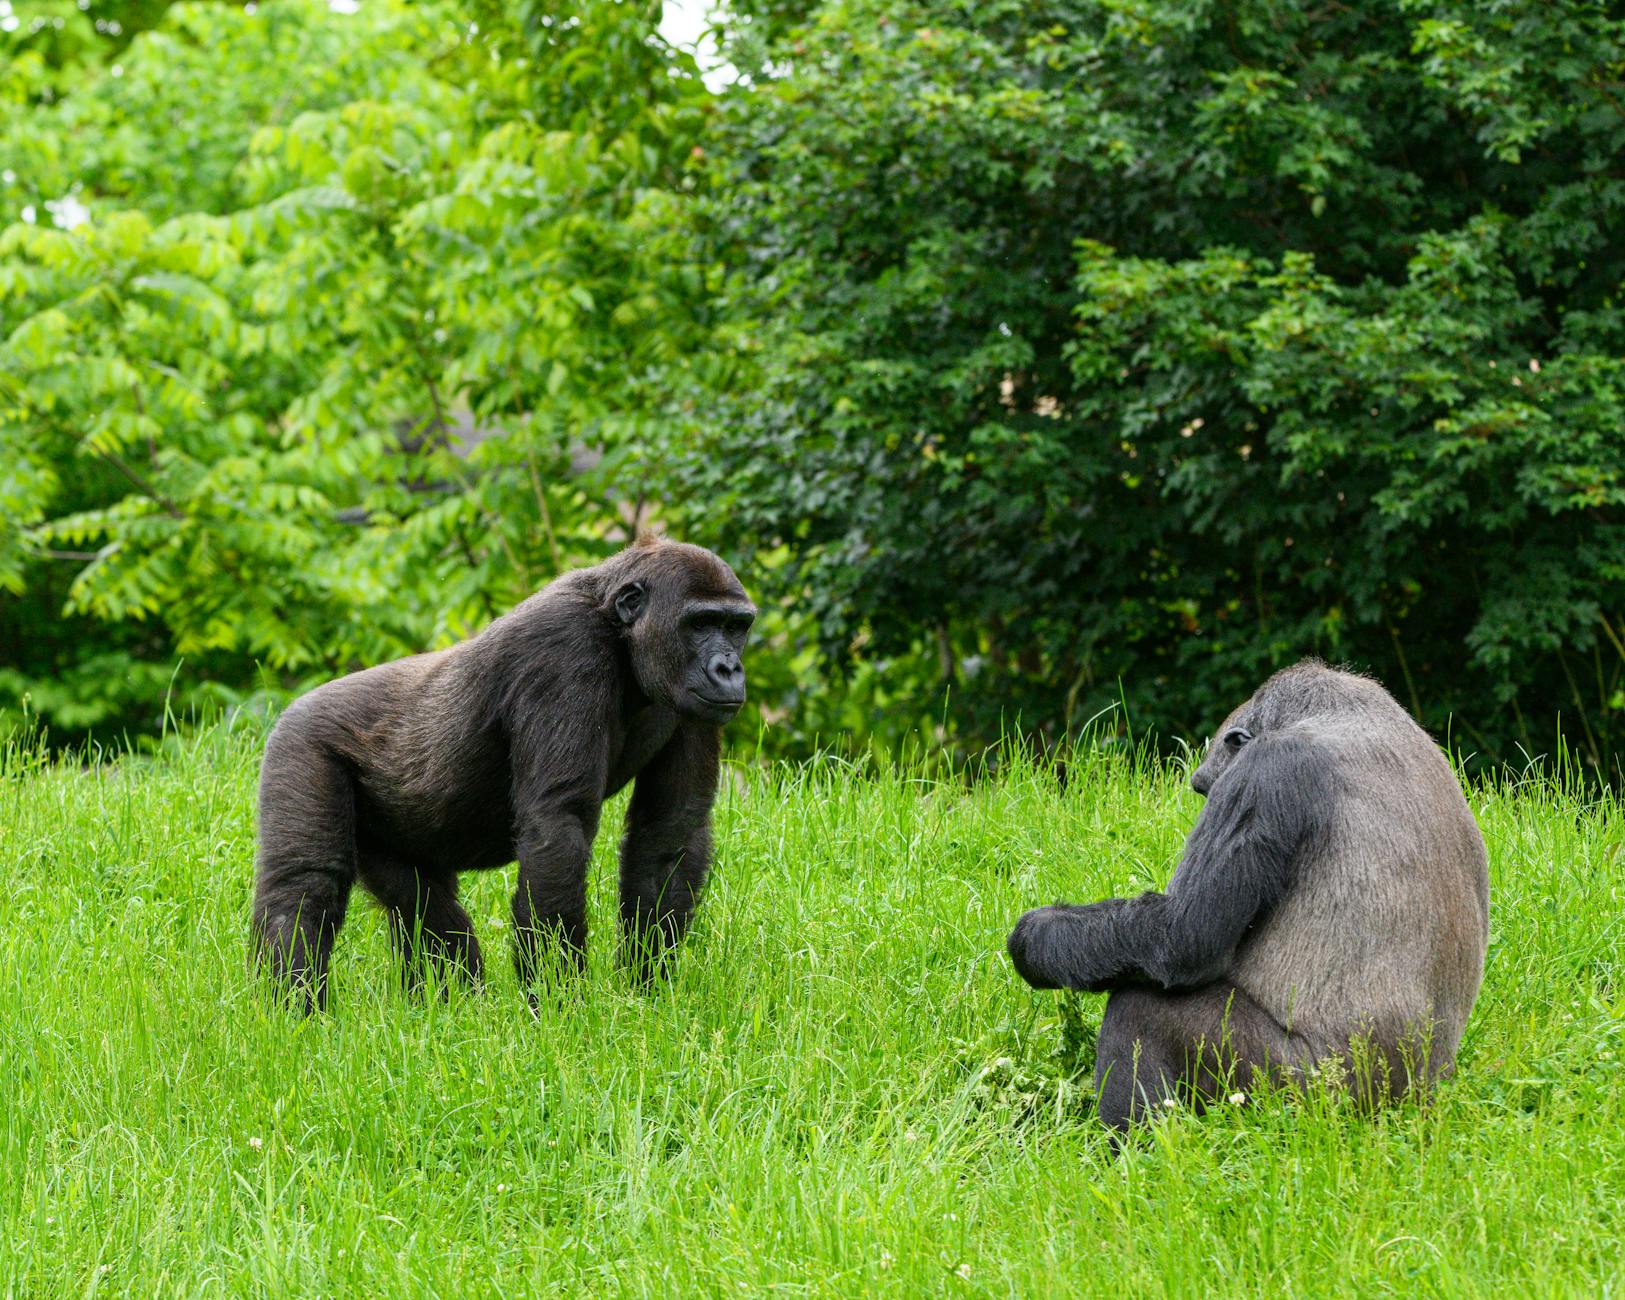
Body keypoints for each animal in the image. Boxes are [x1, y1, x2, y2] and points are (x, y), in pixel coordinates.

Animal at [251, 536, 755, 1013]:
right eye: (701, 624)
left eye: (736, 627)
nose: (729, 668)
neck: (619, 632)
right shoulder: (563, 648)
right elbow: (559, 826)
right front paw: (559, 1005)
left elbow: (670, 831)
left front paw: (645, 989)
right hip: (300, 743)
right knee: (305, 888)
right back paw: (295, 1012)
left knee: (422, 905)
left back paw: (452, 1007)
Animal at [1006, 660, 1489, 1130]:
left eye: (1207, 790)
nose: (1202, 810)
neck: (1343, 712)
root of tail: (1417, 1100)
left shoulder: (1268, 768)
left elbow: (1180, 935)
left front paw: (1035, 938)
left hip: (1311, 1096)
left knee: (1142, 1008)